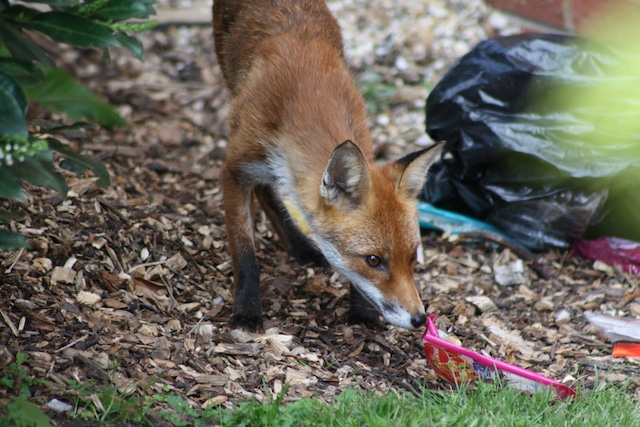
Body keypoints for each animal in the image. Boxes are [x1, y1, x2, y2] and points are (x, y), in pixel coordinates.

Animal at [213, 0, 444, 332]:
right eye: (373, 260)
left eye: (413, 257)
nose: (419, 319)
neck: (308, 92)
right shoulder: (234, 168)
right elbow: (244, 252)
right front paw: (247, 311)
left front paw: (362, 311)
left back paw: (302, 247)